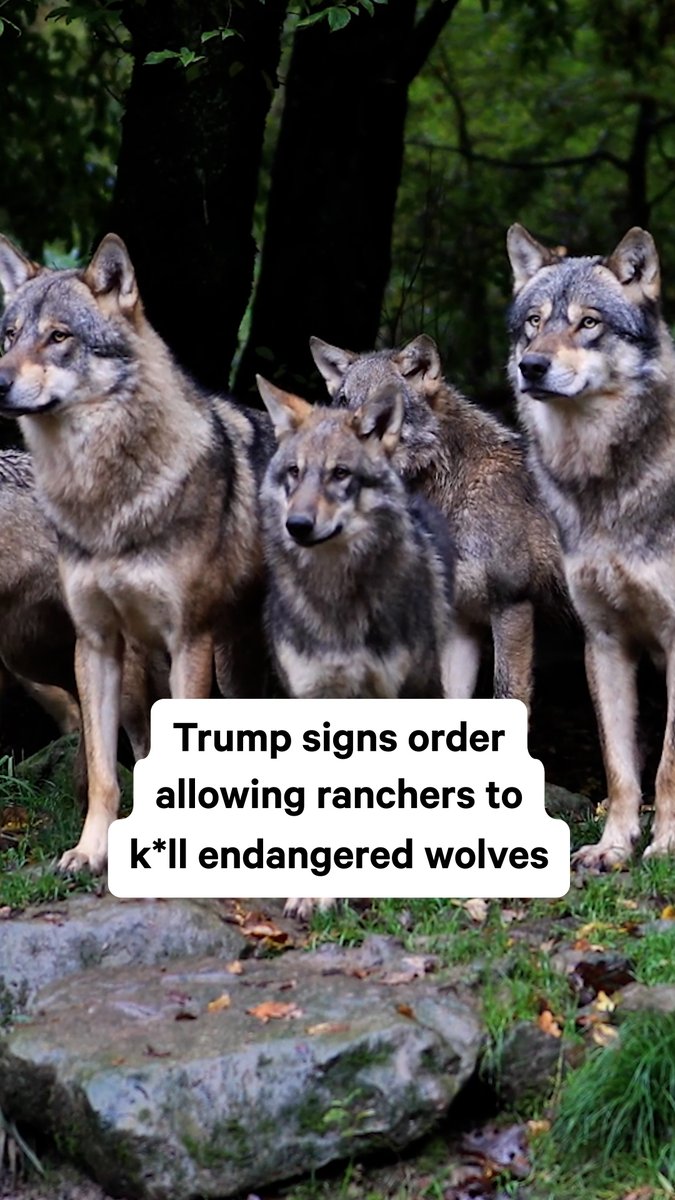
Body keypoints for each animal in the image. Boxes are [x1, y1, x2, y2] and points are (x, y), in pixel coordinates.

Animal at [0, 233, 274, 873]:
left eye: (59, 336)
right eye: (10, 335)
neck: (108, 500)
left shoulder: (190, 642)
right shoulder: (97, 642)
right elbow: (106, 772)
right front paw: (88, 852)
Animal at [310, 335, 563, 710]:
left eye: (383, 404)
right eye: (342, 402)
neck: (456, 489)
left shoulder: (513, 604)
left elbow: (507, 691)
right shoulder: (461, 618)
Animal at [507, 222, 675, 869]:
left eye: (588, 323)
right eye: (534, 322)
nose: (531, 366)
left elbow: (666, 766)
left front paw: (664, 847)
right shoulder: (603, 640)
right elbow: (620, 765)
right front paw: (614, 848)